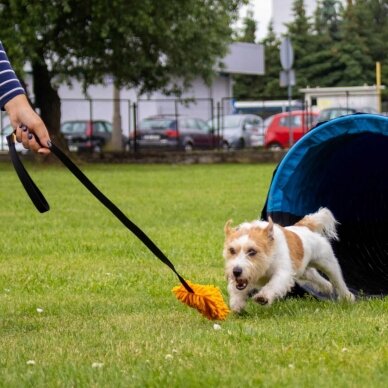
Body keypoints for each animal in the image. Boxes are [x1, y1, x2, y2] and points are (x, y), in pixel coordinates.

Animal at [221, 206, 354, 312]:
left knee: (337, 280)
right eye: (231, 250)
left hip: (328, 262)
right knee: (313, 274)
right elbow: (235, 289)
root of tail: (304, 226)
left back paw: (347, 297)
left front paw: (263, 297)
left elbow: (274, 284)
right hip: (301, 271)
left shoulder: (283, 273)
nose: (236, 271)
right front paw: (237, 304)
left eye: (252, 251)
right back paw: (326, 287)